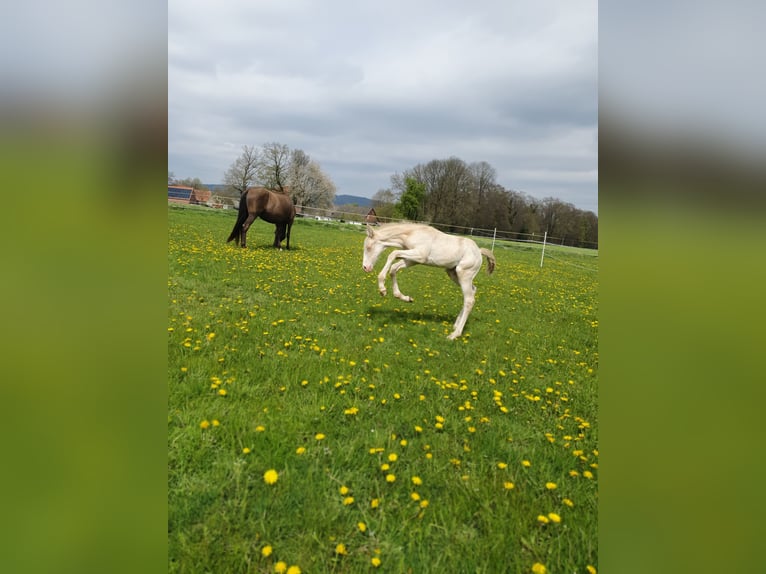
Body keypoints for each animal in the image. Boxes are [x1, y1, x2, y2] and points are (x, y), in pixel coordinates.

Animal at [362, 224, 498, 342]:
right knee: (472, 292)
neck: (412, 233)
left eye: (368, 247)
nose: (365, 268)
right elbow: (394, 268)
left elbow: (393, 254)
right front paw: (405, 298)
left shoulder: (420, 256)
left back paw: (454, 334)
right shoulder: (412, 260)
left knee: (469, 300)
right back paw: (456, 324)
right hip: (453, 273)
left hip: (463, 274)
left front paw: (382, 288)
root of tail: (479, 251)